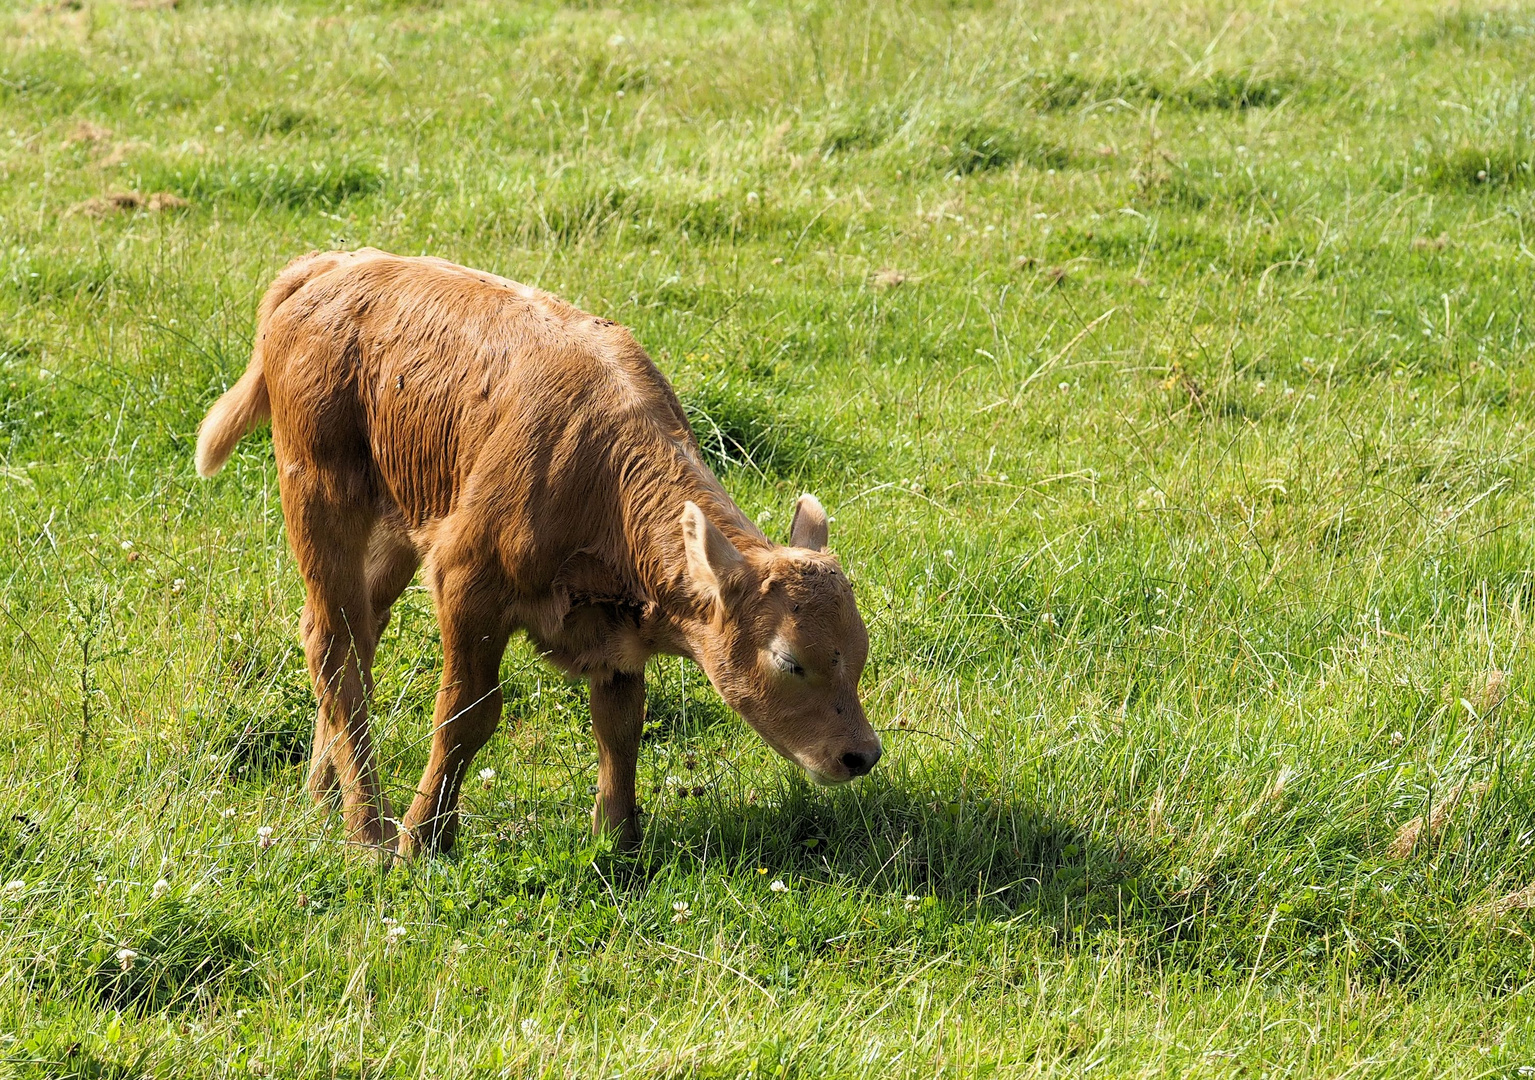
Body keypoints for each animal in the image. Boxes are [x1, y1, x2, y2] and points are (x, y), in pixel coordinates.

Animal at [198, 248, 884, 859]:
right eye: (789, 660)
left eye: (859, 652)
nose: (861, 755)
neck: (601, 475)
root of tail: (333, 265)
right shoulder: (466, 583)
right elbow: (467, 715)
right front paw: (422, 841)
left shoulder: (615, 634)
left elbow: (620, 725)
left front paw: (620, 843)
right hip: (319, 495)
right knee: (334, 646)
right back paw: (368, 832)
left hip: (396, 520)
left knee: (359, 634)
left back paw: (324, 800)